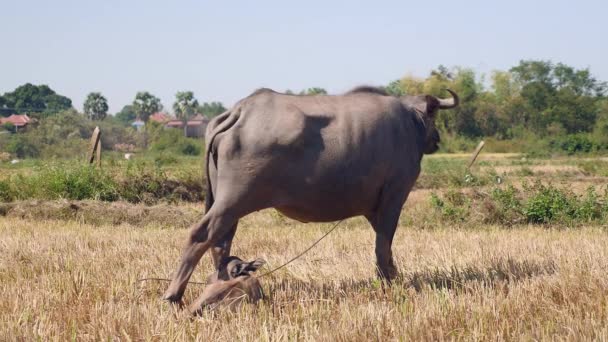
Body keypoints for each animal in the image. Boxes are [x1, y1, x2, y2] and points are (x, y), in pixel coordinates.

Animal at [164, 87, 458, 304]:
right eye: (433, 115)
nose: (437, 138)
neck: (409, 123)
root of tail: (239, 111)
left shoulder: (374, 208)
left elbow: (384, 246)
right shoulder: (393, 198)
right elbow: (383, 244)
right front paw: (389, 280)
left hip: (228, 204)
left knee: (220, 242)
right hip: (233, 200)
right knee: (201, 234)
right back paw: (173, 295)